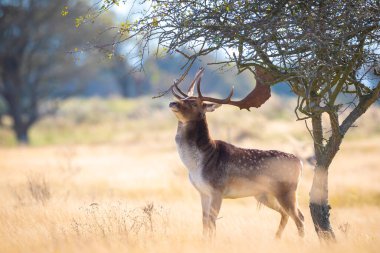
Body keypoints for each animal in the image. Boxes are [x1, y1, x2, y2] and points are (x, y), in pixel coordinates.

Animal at [169, 66, 306, 237]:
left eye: (194, 103)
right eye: (185, 99)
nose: (173, 102)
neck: (197, 165)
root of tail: (299, 162)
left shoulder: (217, 189)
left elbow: (212, 223)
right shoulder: (203, 191)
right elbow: (204, 223)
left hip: (287, 190)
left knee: (299, 218)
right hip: (265, 194)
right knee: (288, 214)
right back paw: (276, 239)